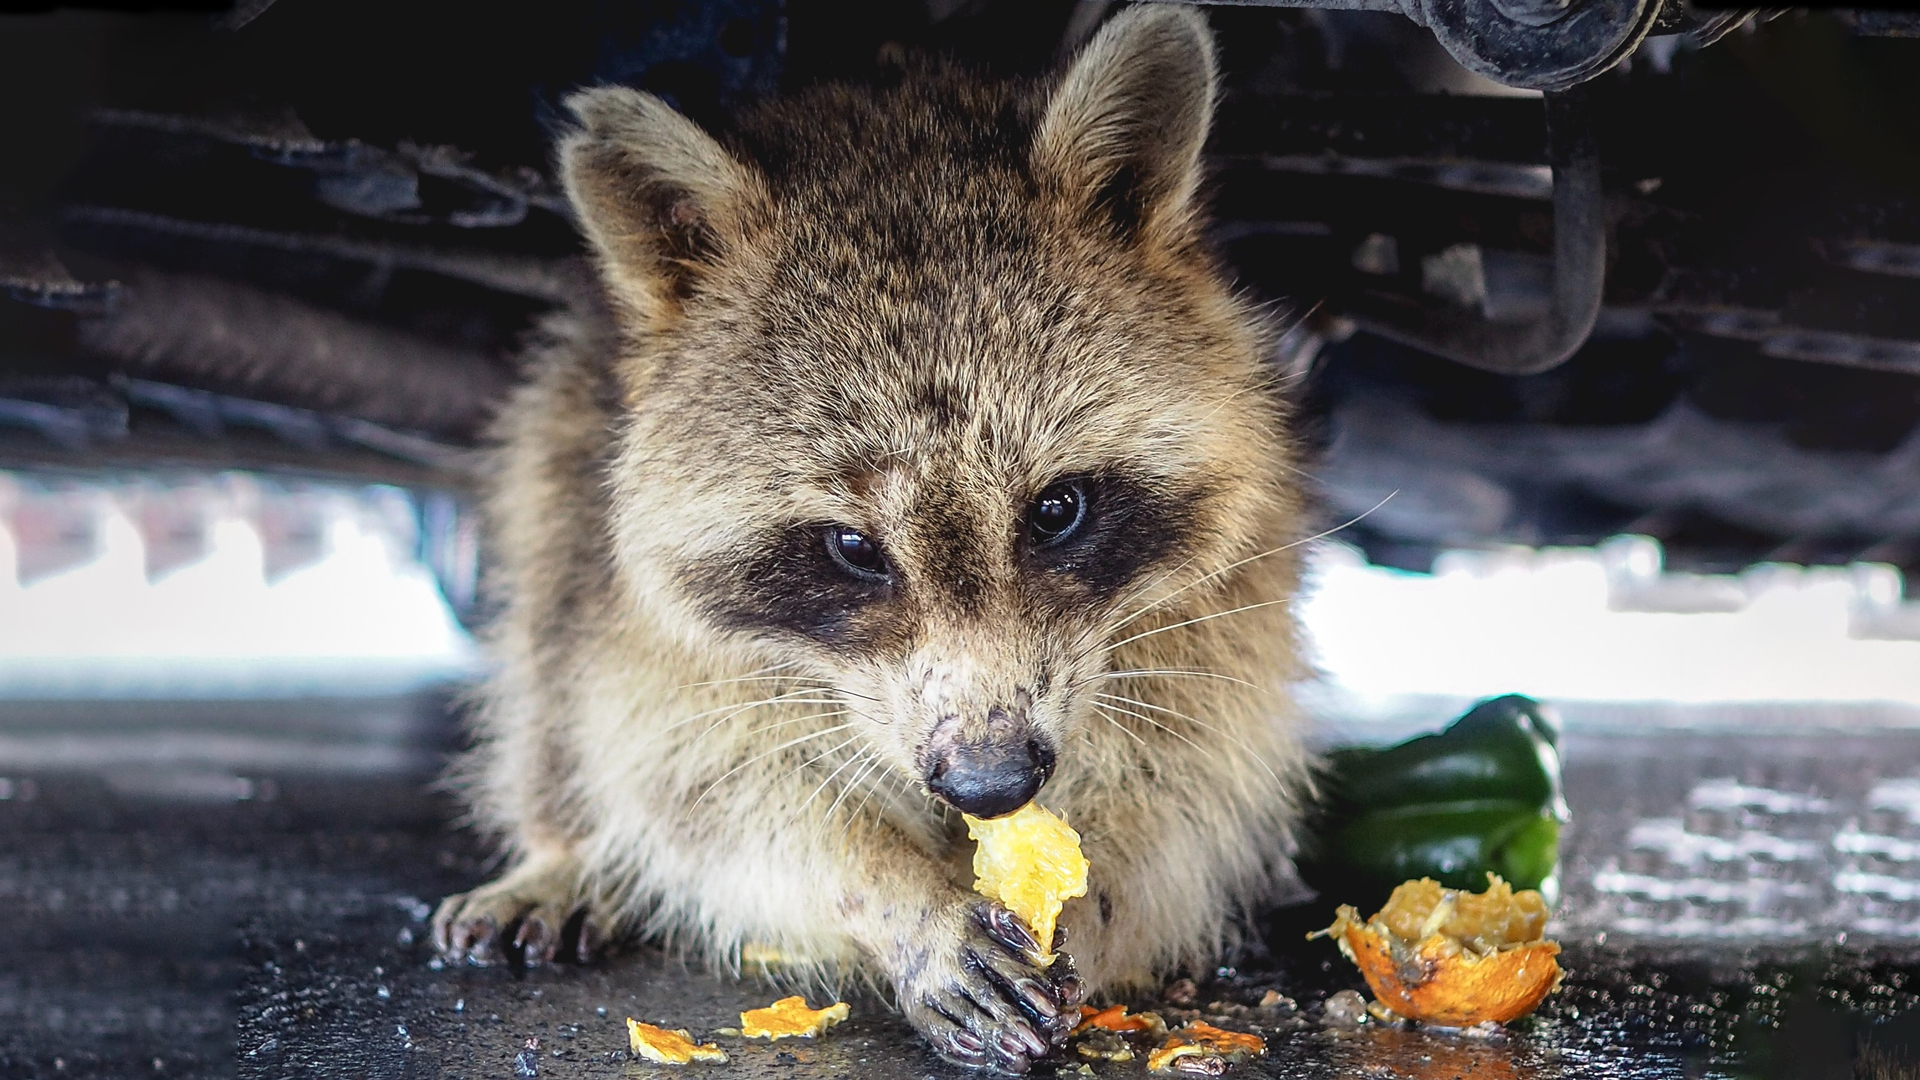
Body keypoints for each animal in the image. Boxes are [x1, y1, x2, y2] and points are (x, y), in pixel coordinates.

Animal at [432, 7, 1313, 1072]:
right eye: (853, 548)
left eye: (1057, 508)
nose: (990, 781)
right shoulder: (650, 626)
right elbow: (705, 789)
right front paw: (893, 894)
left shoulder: (1226, 599)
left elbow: (1191, 778)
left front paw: (1095, 892)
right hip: (564, 442)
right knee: (549, 657)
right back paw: (566, 852)